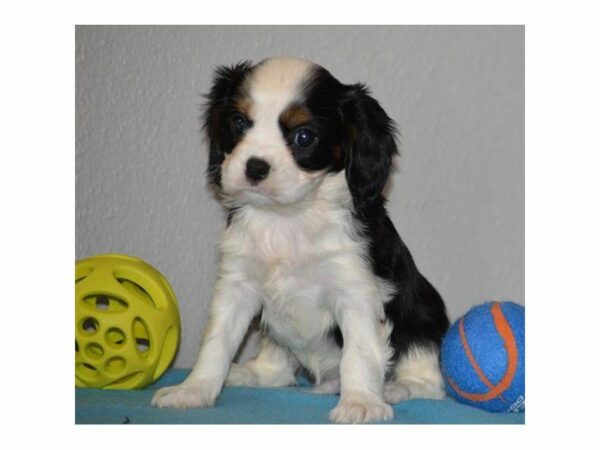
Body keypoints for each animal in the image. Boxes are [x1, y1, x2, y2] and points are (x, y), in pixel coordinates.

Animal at [152, 58, 448, 424]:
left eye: (303, 136)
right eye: (238, 123)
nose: (255, 167)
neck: (288, 216)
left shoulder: (356, 291)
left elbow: (360, 352)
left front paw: (361, 402)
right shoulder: (236, 286)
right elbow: (216, 342)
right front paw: (194, 389)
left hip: (424, 315)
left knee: (429, 383)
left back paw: (396, 388)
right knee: (279, 371)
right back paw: (249, 373)